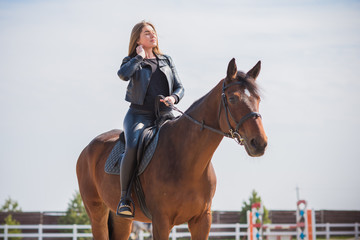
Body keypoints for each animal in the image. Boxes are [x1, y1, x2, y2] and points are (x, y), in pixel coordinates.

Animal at [76, 58, 268, 240]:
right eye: (233, 98)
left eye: (258, 99)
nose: (259, 143)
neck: (187, 161)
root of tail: (86, 150)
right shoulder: (161, 221)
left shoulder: (202, 220)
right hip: (97, 212)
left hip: (122, 220)